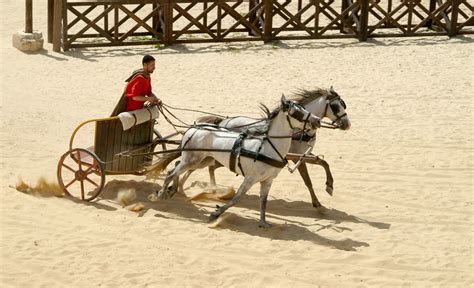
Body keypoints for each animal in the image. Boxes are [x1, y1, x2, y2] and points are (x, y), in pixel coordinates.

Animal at [148, 96, 322, 227]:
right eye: (296, 112)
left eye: (304, 108)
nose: (317, 120)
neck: (267, 147)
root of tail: (193, 128)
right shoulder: (250, 178)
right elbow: (237, 198)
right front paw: (216, 213)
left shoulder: (267, 180)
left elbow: (263, 201)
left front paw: (263, 222)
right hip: (192, 160)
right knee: (171, 173)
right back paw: (161, 194)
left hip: (202, 160)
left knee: (177, 167)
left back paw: (173, 190)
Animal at [183, 86, 350, 208]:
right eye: (336, 106)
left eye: (343, 104)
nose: (347, 124)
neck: (297, 130)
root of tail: (224, 121)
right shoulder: (296, 157)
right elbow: (308, 180)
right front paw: (318, 201)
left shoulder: (301, 156)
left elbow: (323, 162)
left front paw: (328, 187)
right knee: (199, 166)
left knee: (207, 167)